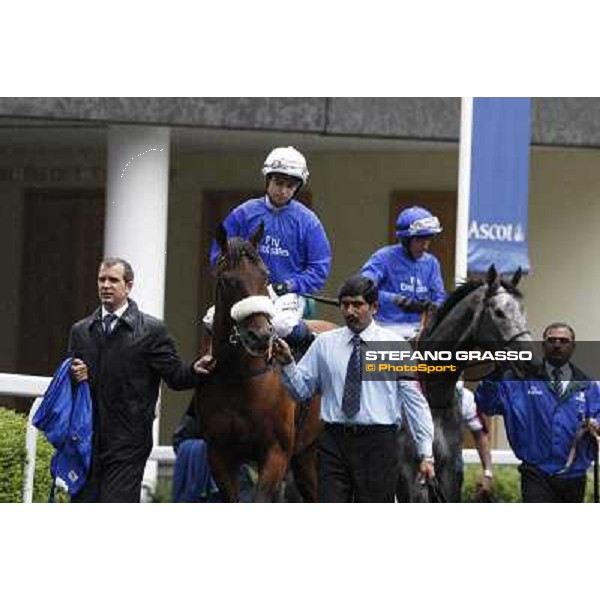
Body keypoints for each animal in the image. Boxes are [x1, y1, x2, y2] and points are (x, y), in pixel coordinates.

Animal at [192, 223, 326, 500]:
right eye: (227, 280)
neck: (240, 376)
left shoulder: (276, 453)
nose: (261, 335)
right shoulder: (218, 454)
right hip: (305, 456)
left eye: (265, 276)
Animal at [396, 262, 540, 502]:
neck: (433, 394)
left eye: (522, 311)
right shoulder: (408, 476)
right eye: (498, 312)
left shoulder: (448, 474)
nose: (534, 362)